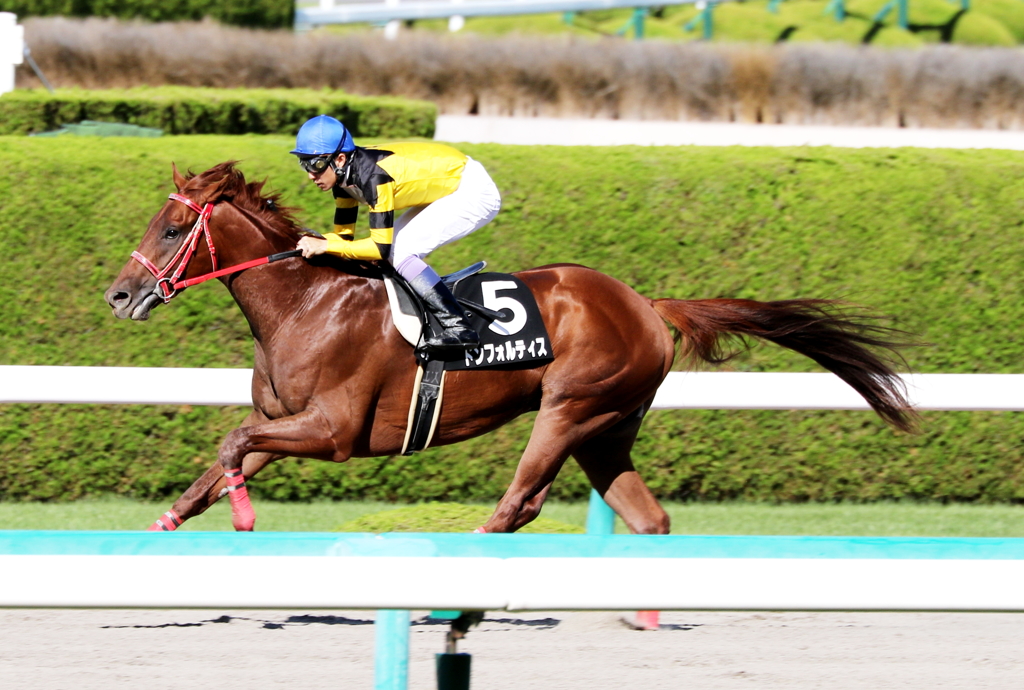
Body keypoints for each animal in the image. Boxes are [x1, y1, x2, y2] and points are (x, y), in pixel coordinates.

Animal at [108, 162, 917, 532]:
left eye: (174, 229)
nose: (119, 295)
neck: (307, 305)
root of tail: (645, 303)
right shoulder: (286, 424)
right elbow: (219, 467)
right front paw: (160, 533)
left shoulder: (333, 431)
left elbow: (233, 445)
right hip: (607, 428)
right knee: (647, 516)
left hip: (570, 407)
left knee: (518, 502)